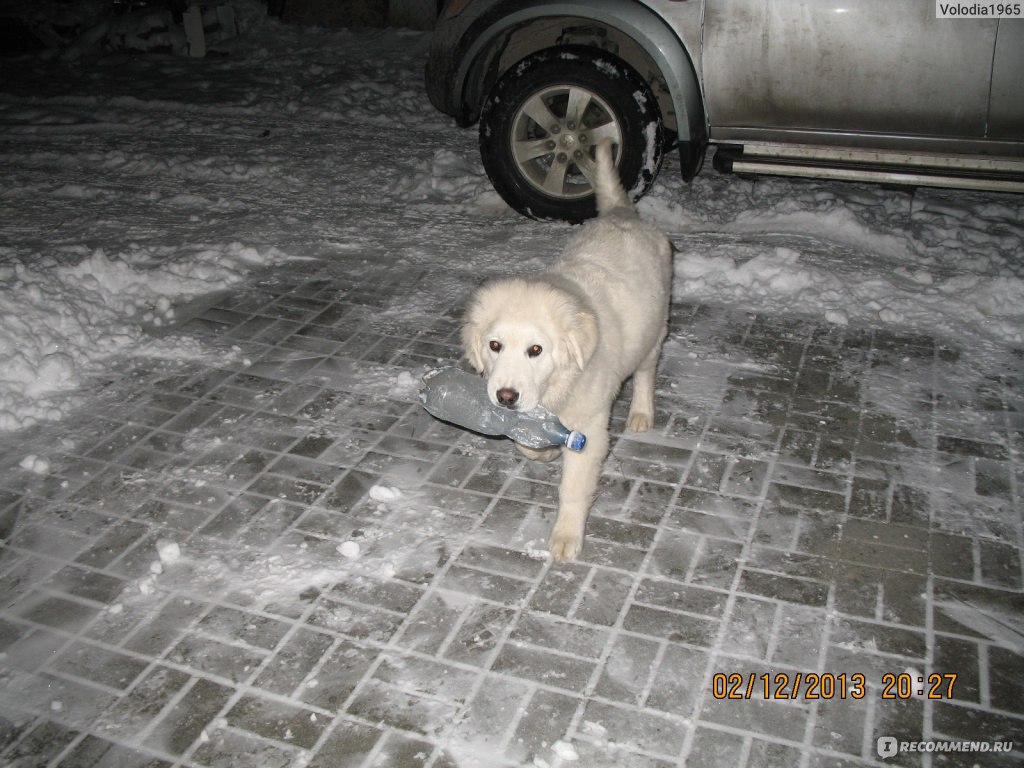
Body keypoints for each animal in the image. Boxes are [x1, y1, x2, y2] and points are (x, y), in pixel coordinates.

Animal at [462, 138, 671, 561]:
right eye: (494, 345)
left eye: (536, 350)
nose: (505, 397)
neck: (559, 386)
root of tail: (622, 214)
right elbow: (527, 442)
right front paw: (542, 452)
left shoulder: (589, 425)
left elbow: (573, 488)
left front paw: (566, 538)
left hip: (654, 332)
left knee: (646, 372)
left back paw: (641, 413)